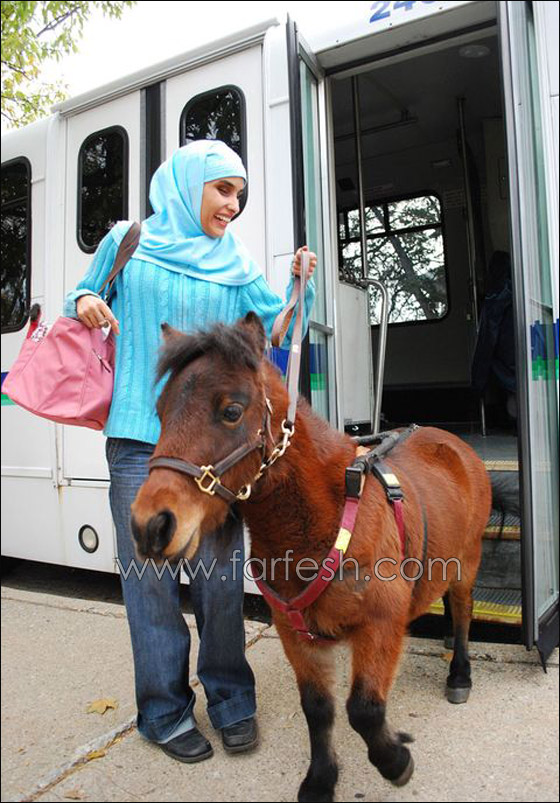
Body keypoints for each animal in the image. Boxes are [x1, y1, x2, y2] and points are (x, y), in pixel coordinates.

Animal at [131, 312, 495, 802]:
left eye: (231, 411)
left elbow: (364, 709)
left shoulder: (378, 623)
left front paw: (395, 760)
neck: (323, 522)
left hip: (467, 561)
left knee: (462, 613)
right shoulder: (296, 634)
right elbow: (318, 708)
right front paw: (322, 779)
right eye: (160, 412)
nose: (150, 526)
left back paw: (459, 675)